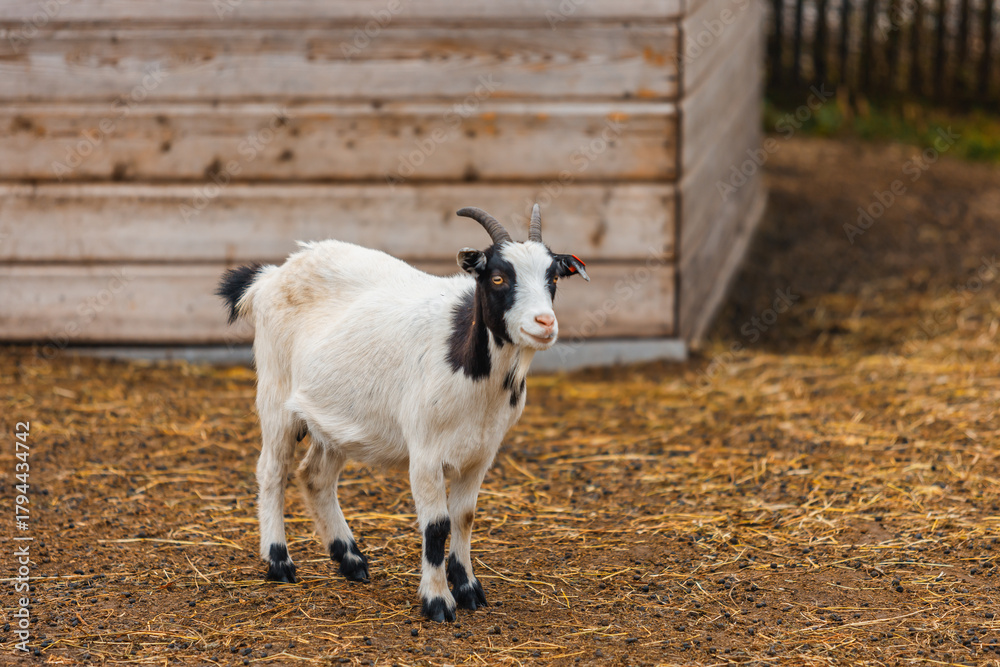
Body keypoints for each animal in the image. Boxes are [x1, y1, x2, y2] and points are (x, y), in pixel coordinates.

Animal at [217, 204, 588, 621]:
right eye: (497, 277)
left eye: (553, 277)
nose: (545, 323)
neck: (470, 366)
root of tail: (269, 278)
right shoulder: (425, 451)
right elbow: (437, 525)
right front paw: (438, 601)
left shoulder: (482, 453)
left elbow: (464, 517)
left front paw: (469, 589)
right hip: (276, 393)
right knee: (272, 471)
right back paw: (279, 563)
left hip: (334, 418)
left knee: (314, 476)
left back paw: (350, 560)